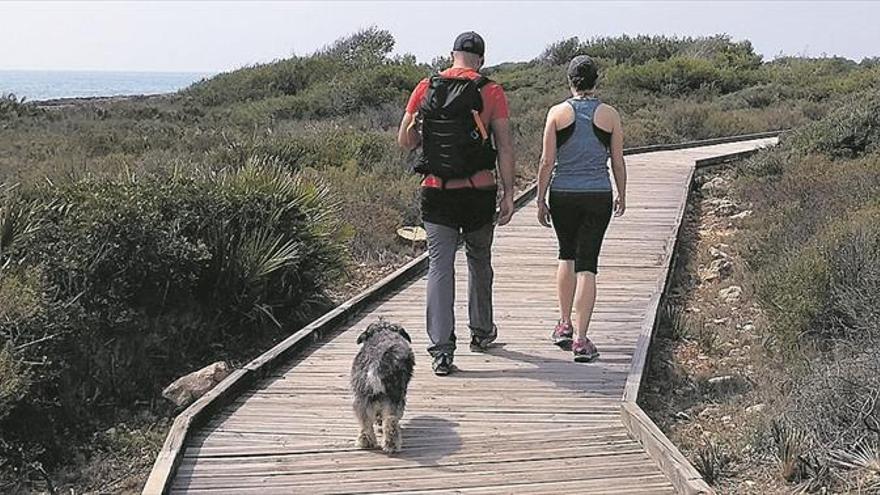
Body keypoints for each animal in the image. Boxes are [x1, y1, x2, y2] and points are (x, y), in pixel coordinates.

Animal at [352, 322, 414, 454]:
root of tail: (376, 362)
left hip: (361, 397)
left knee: (365, 422)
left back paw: (365, 441)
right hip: (394, 396)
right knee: (390, 421)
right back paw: (392, 445)